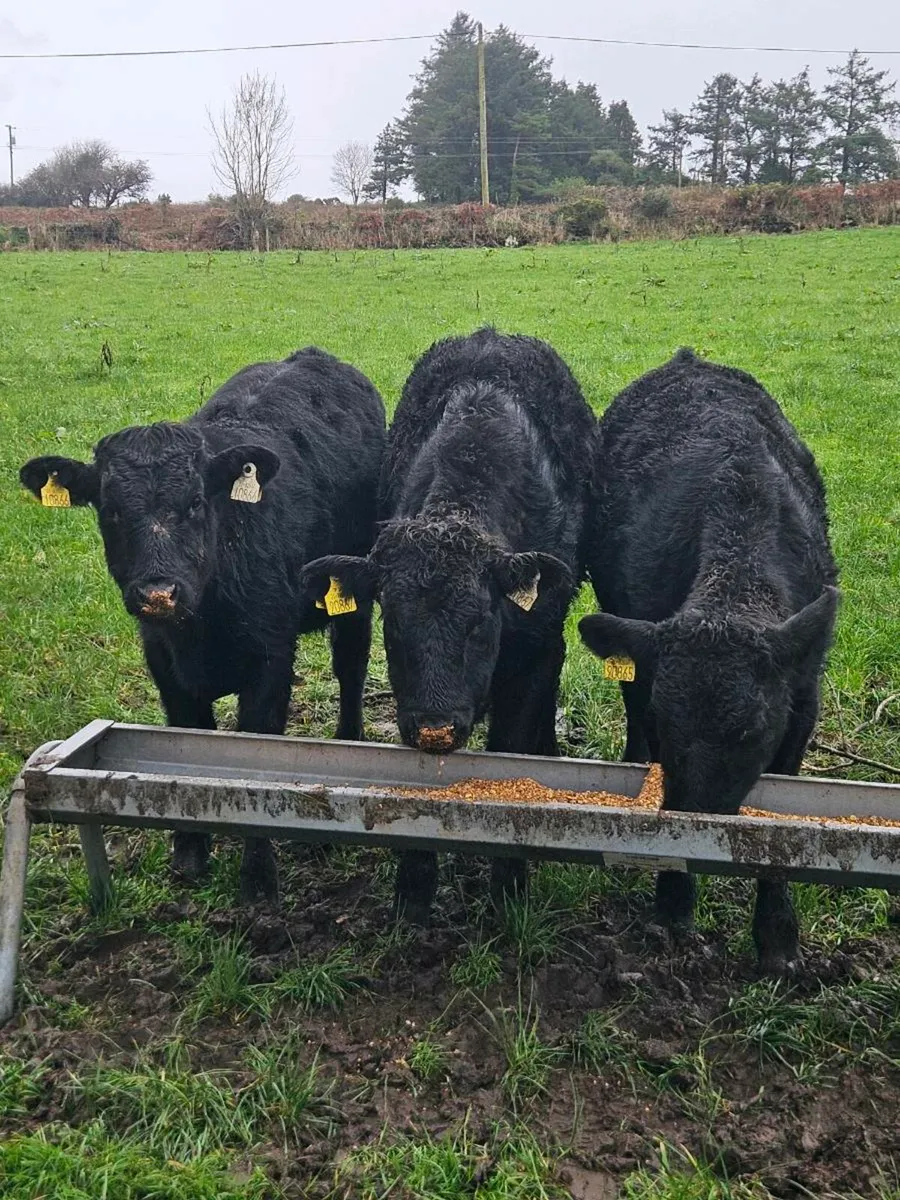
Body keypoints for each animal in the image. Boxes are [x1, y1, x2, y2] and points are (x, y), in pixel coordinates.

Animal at [20, 347, 386, 903]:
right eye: (111, 510)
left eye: (194, 502)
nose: (157, 593)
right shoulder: (164, 663)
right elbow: (190, 738)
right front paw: (190, 852)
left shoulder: (270, 663)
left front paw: (258, 875)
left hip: (352, 592)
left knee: (351, 669)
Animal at [301, 327, 597, 923]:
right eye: (393, 623)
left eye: (480, 623)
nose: (437, 727)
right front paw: (413, 889)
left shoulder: (536, 650)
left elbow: (512, 754)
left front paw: (509, 891)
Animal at [579, 348, 839, 975]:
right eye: (668, 726)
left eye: (750, 732)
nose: (702, 831)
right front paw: (674, 907)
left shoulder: (802, 703)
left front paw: (777, 939)